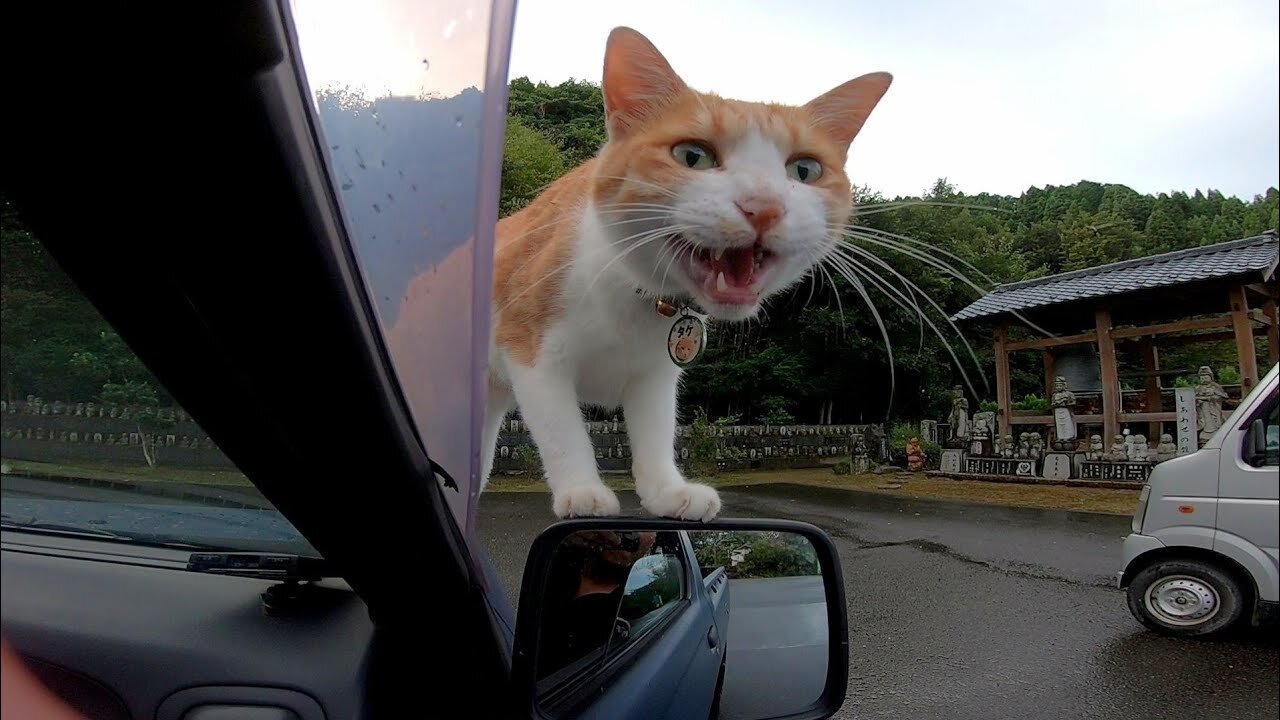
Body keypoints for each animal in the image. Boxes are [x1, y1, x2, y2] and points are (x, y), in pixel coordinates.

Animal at [481, 26, 890, 515]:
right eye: (693, 156)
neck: (640, 294)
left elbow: (657, 431)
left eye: (805, 169)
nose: (763, 207)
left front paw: (666, 492)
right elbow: (562, 429)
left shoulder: (657, 373)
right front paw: (583, 492)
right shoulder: (532, 351)